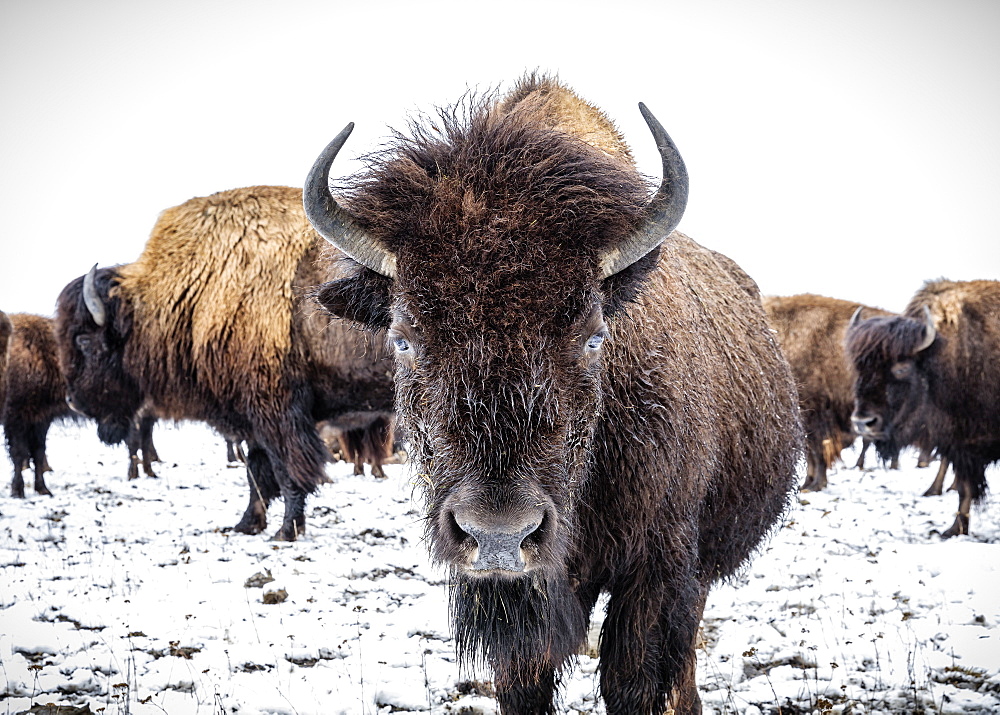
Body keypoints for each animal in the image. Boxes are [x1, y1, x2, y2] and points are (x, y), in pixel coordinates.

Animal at [52, 187, 392, 540]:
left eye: (84, 340)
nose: (73, 401)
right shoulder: (253, 421)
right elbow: (257, 474)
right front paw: (247, 524)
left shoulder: (277, 414)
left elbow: (287, 472)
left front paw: (286, 530)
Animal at [300, 74, 800, 715]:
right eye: (403, 336)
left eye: (593, 335)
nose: (499, 535)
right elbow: (525, 679)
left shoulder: (656, 567)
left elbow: (633, 681)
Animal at [844, 280, 1000, 536]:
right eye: (859, 367)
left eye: (901, 367)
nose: (863, 423)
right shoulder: (960, 446)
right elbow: (964, 489)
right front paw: (954, 530)